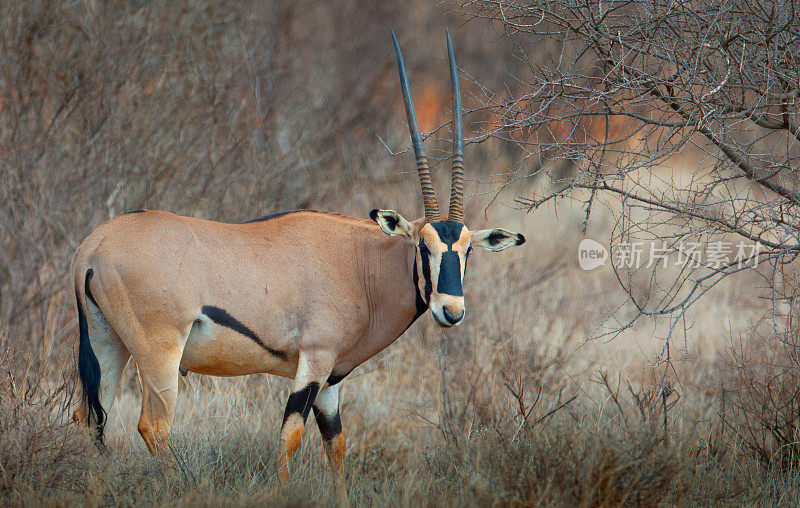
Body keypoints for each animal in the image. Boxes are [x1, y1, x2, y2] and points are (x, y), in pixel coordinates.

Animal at [72, 29, 528, 502]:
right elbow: (290, 436)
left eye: (467, 250)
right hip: (158, 351)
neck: (361, 265)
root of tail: (92, 249)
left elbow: (337, 444)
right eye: (423, 246)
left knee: (92, 418)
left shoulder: (332, 380)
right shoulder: (315, 360)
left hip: (109, 342)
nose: (451, 311)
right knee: (153, 426)